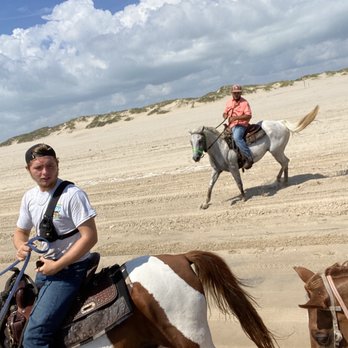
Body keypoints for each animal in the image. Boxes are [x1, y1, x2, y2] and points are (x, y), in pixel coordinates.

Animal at [190, 106, 318, 208]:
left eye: (200, 140)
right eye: (191, 142)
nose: (195, 157)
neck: (221, 147)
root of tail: (281, 123)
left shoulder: (233, 167)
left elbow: (238, 182)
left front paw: (243, 198)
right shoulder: (216, 170)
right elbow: (210, 186)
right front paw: (205, 203)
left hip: (276, 151)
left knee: (285, 162)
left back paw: (283, 181)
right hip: (277, 151)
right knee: (284, 162)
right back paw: (279, 181)